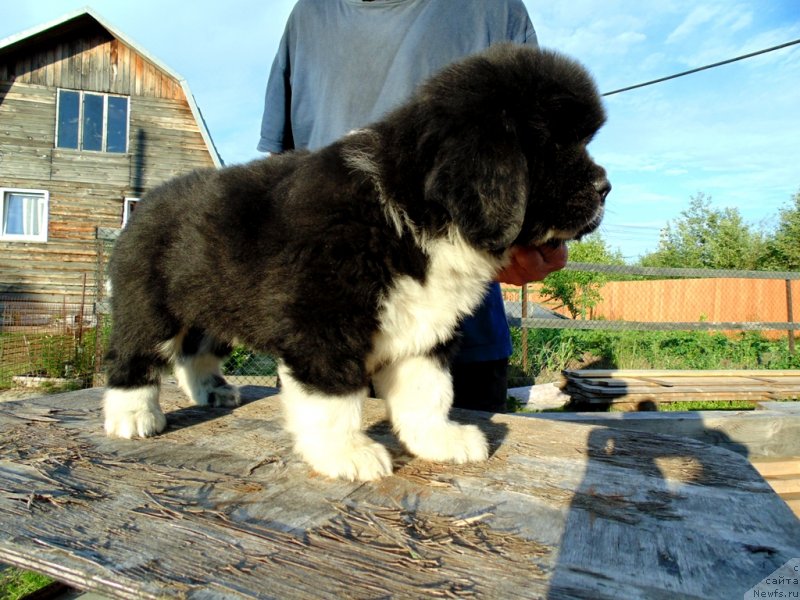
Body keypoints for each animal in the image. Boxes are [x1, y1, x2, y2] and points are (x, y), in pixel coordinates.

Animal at [103, 42, 608, 480]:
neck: (409, 209)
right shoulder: (324, 324)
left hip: (215, 303)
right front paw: (346, 453)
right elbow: (333, 397)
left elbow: (429, 391)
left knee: (195, 351)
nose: (604, 188)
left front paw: (438, 440)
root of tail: (146, 203)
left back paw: (211, 390)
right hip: (149, 307)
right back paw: (132, 414)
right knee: (134, 356)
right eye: (556, 145)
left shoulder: (425, 325)